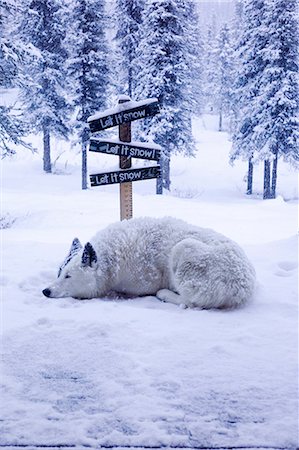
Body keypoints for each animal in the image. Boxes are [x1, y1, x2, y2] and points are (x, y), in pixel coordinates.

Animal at [43, 217, 256, 310]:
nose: (45, 291)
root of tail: (244, 287)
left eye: (68, 276)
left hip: (183, 248)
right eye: (59, 273)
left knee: (190, 302)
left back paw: (164, 295)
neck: (112, 261)